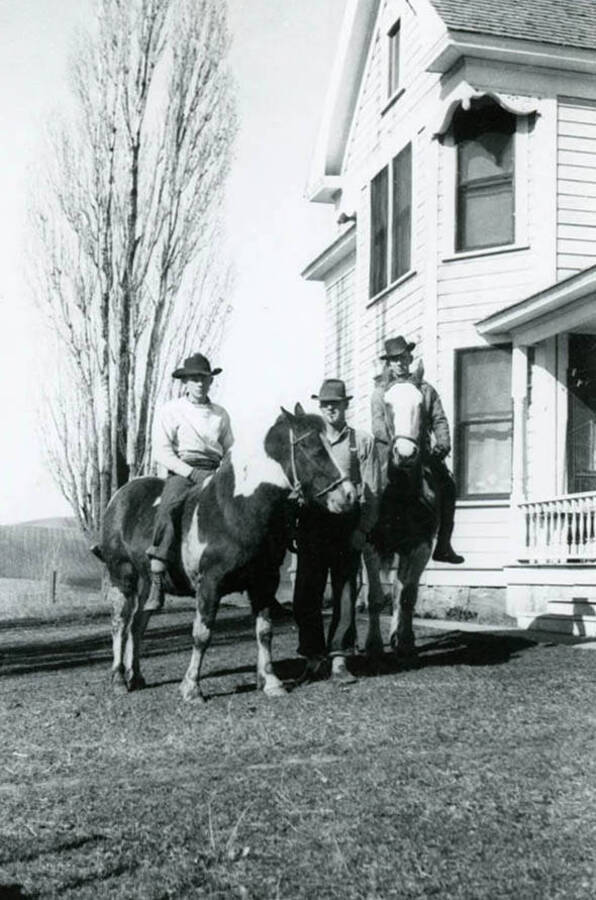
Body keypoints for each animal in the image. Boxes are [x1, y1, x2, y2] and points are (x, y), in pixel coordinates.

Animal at [92, 404, 354, 700]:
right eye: (312, 447)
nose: (348, 495)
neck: (235, 508)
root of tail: (119, 497)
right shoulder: (210, 583)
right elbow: (202, 634)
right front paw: (192, 688)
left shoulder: (265, 581)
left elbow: (265, 630)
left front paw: (271, 682)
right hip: (122, 574)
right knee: (121, 622)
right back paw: (118, 679)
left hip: (148, 583)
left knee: (138, 624)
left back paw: (135, 676)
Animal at [364, 382, 438, 660]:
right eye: (387, 404)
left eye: (421, 404)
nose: (405, 454)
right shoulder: (370, 545)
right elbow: (374, 597)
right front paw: (373, 644)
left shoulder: (420, 547)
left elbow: (406, 596)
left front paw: (405, 641)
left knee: (400, 590)